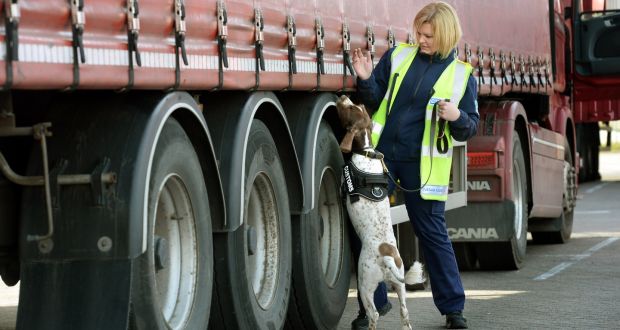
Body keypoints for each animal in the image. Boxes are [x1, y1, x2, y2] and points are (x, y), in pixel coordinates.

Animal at [334, 95, 426, 330]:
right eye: (354, 106)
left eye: (349, 109)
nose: (343, 96)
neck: (366, 151)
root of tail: (387, 257)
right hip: (400, 285)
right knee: (404, 312)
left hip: (365, 285)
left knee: (374, 314)